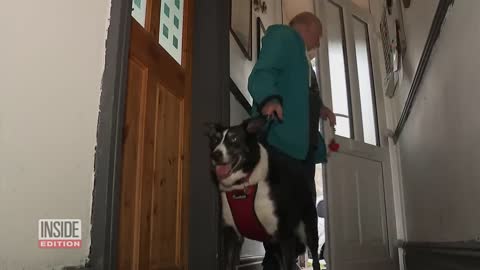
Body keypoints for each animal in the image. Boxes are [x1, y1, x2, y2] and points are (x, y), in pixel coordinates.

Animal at [205, 117, 318, 270]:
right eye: (215, 140)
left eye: (234, 138)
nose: (215, 155)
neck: (243, 185)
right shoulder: (231, 234)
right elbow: (229, 263)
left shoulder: (285, 233)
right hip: (273, 244)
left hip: (309, 229)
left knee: (315, 256)